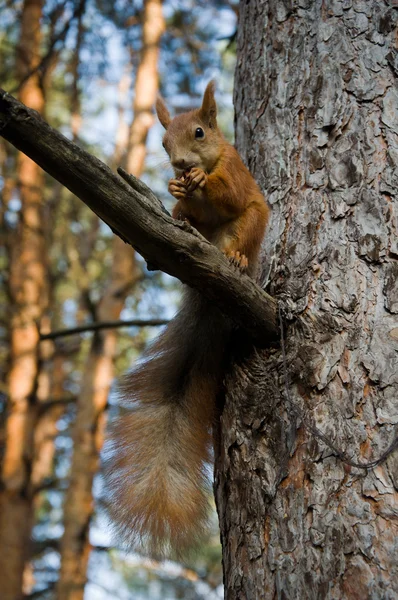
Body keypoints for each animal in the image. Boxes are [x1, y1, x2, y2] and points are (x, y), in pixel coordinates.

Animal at [104, 81, 268, 556]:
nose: (178, 164)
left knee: (241, 233)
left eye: (199, 132)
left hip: (251, 225)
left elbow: (227, 193)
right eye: (162, 143)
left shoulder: (235, 173)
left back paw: (235, 259)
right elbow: (186, 209)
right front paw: (176, 191)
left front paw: (198, 182)